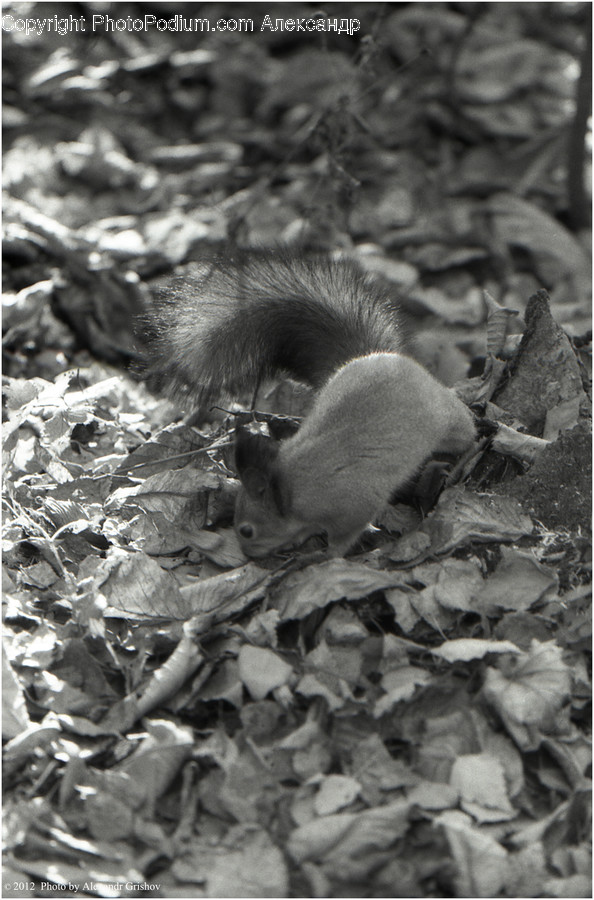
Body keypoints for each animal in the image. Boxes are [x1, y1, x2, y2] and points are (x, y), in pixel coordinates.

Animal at [148, 250, 478, 557]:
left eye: (247, 531)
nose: (247, 554)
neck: (290, 488)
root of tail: (380, 355)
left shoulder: (353, 504)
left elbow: (345, 536)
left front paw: (326, 555)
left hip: (446, 419)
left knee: (465, 429)